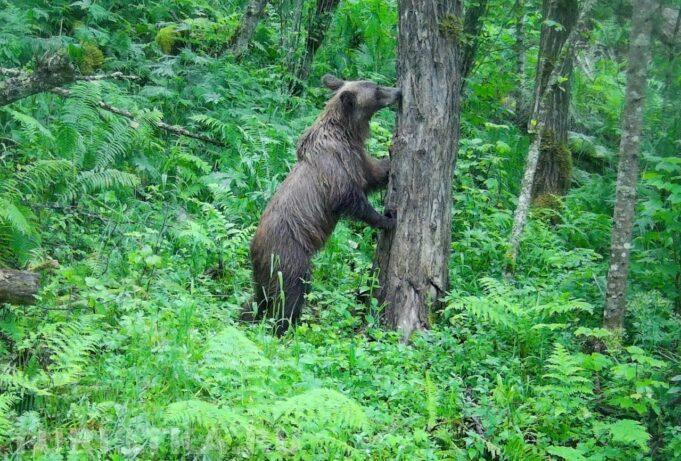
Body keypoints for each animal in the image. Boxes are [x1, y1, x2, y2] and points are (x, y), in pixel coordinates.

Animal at [247, 74, 402, 335]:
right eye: (378, 89)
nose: (399, 91)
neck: (348, 133)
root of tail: (254, 248)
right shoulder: (336, 171)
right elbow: (353, 201)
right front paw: (387, 218)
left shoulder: (357, 158)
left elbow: (373, 173)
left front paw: (390, 160)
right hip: (290, 255)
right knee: (290, 293)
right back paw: (286, 327)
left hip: (263, 271)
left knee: (259, 297)